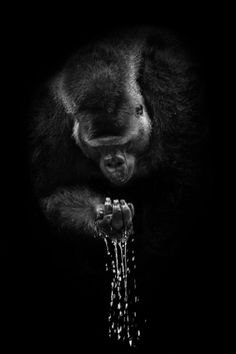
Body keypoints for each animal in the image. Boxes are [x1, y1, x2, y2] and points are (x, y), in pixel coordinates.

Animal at [29, 27, 208, 352]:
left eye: (122, 142)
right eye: (101, 147)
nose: (113, 162)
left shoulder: (176, 86)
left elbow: (177, 186)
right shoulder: (47, 114)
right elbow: (53, 192)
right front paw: (106, 219)